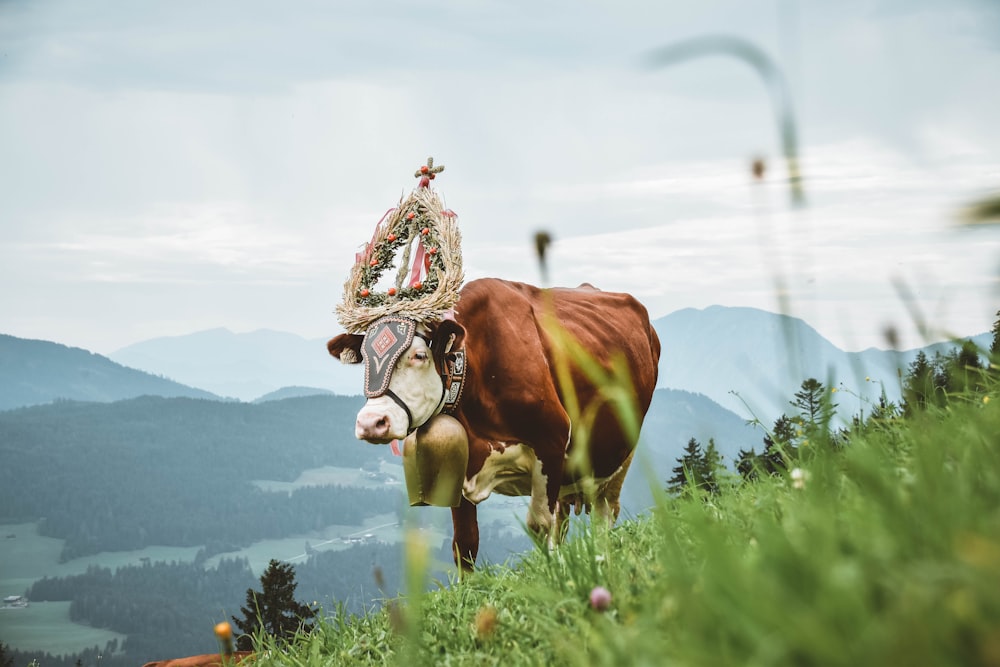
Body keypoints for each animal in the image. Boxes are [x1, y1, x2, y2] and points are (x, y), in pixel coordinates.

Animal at [324, 278, 660, 568]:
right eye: (365, 359)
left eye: (419, 356)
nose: (371, 422)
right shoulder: (459, 459)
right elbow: (465, 544)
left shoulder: (551, 442)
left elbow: (539, 525)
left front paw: (550, 574)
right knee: (563, 520)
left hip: (619, 456)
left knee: (603, 515)